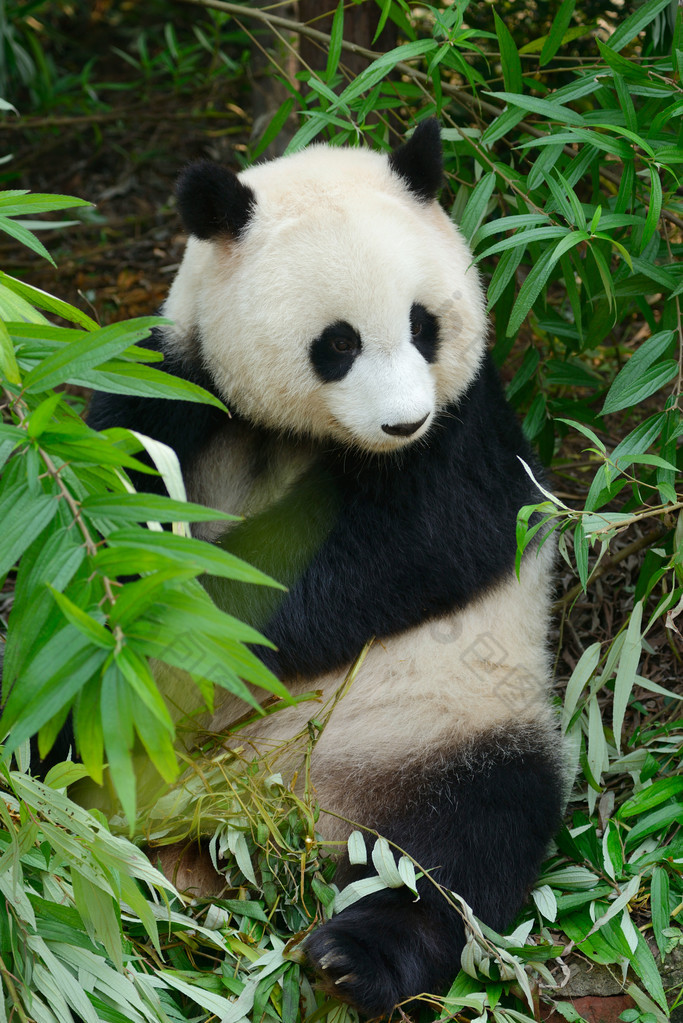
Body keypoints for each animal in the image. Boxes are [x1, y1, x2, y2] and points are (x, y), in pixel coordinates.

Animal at [86, 117, 564, 1014]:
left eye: (423, 325)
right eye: (336, 344)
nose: (402, 421)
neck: (296, 433)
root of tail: (250, 820)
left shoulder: (466, 427)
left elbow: (425, 539)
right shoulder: (175, 381)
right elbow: (109, 508)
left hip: (449, 728)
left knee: (463, 846)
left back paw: (353, 956)